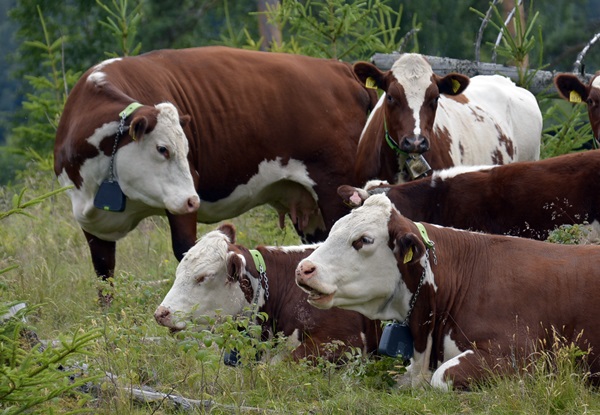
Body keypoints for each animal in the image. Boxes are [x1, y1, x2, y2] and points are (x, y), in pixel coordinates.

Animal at [55, 46, 376, 286]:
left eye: (186, 150)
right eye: (162, 148)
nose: (194, 200)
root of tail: (341, 69)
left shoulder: (184, 198)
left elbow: (187, 250)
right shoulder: (89, 219)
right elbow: (104, 274)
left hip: (335, 189)